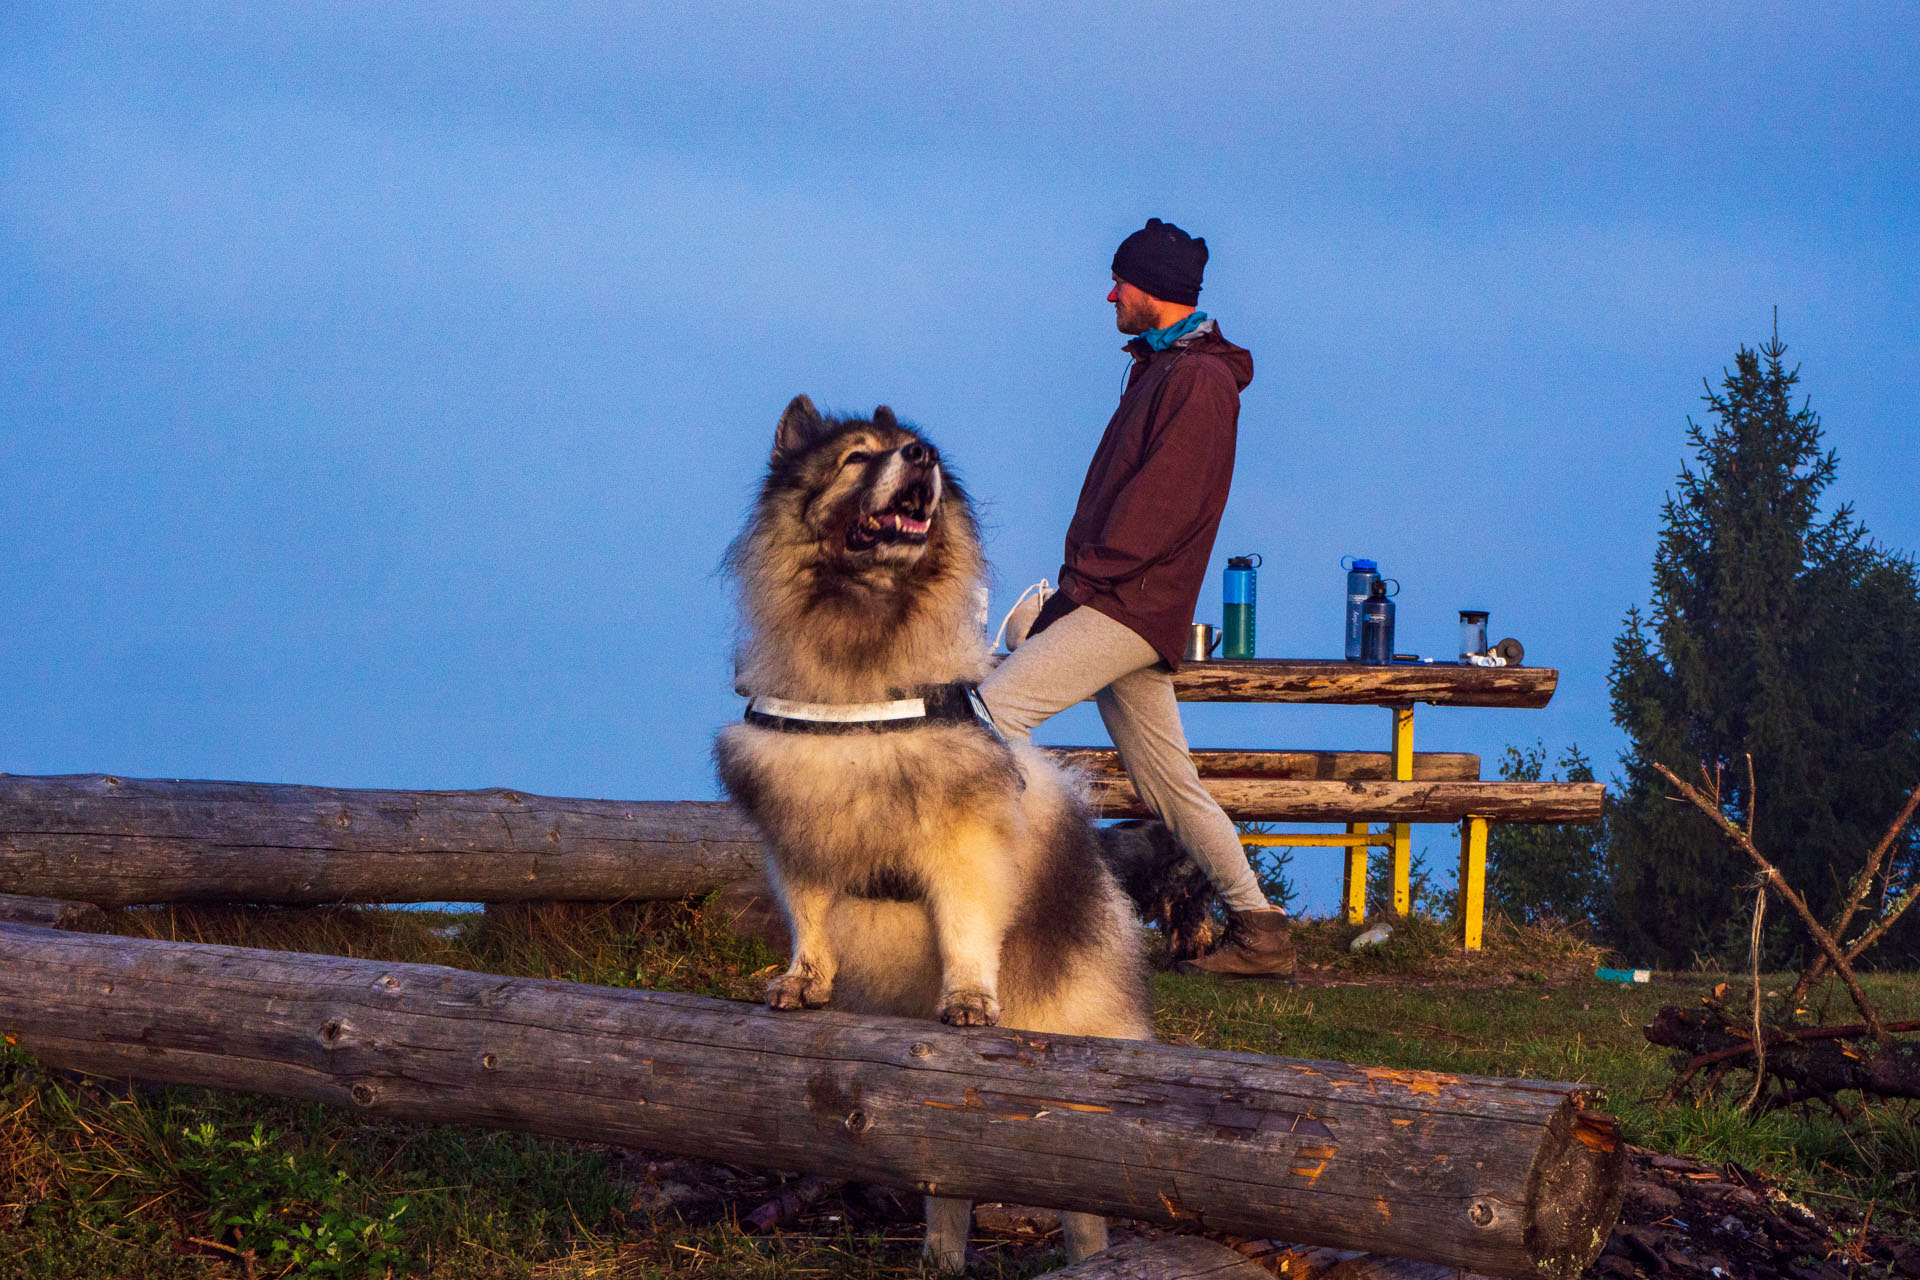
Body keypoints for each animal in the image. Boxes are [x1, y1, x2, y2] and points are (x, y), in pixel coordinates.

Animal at [714, 397, 1144, 1274]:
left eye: (917, 448)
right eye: (855, 458)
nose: (921, 457)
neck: (859, 671)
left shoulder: (963, 847)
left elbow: (967, 931)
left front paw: (969, 998)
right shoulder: (800, 836)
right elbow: (809, 920)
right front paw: (802, 982)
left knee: (1083, 1199)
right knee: (947, 1174)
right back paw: (939, 1258)